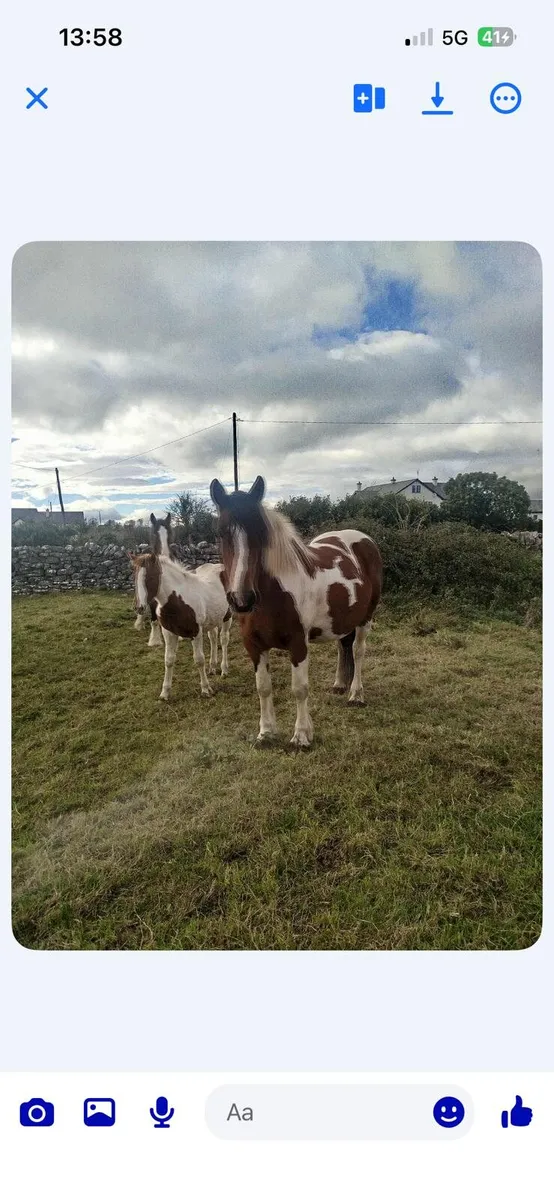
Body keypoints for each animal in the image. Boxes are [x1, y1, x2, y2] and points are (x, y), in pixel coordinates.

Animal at [130, 549, 232, 698]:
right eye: (134, 576)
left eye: (151, 577)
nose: (139, 608)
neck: (177, 600)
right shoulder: (168, 632)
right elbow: (168, 660)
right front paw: (165, 692)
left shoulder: (196, 632)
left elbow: (199, 660)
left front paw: (205, 689)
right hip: (211, 620)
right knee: (213, 638)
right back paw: (212, 667)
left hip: (227, 617)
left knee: (223, 640)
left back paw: (224, 669)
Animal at [209, 475, 382, 747]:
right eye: (220, 532)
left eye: (262, 533)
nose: (241, 600)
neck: (274, 596)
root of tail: (364, 539)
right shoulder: (254, 646)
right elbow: (263, 687)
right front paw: (266, 732)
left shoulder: (299, 644)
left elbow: (299, 689)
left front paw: (301, 735)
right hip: (340, 620)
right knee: (343, 646)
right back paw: (339, 684)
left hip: (365, 618)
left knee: (358, 651)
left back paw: (356, 694)